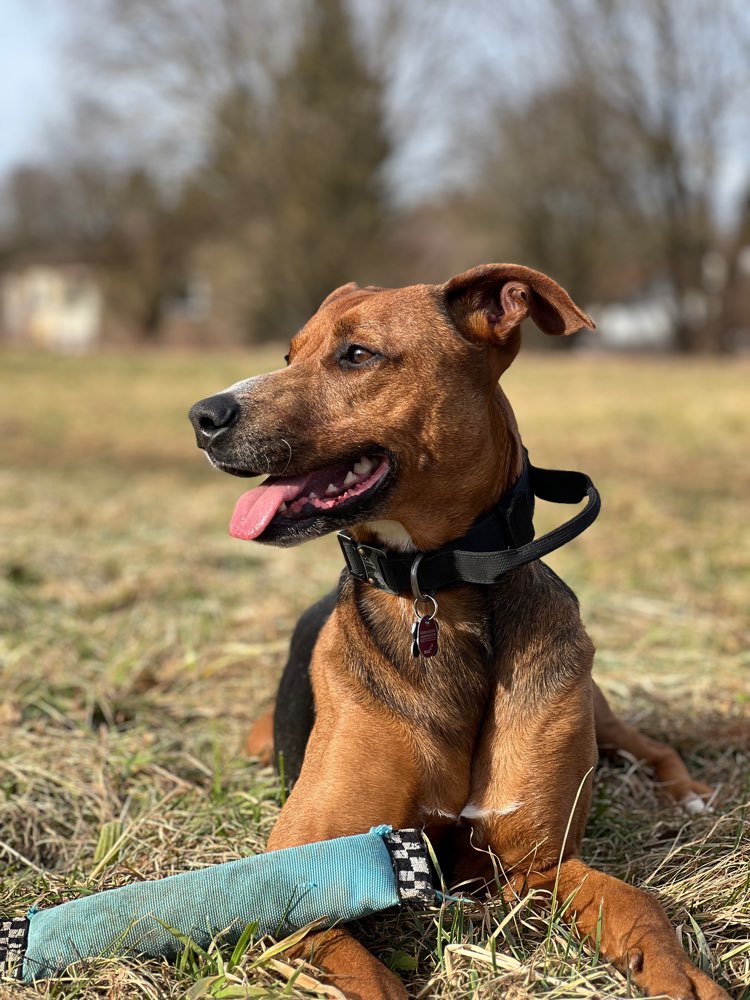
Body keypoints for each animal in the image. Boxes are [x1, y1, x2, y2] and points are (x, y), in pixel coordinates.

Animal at [189, 266, 728, 1000]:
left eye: (356, 354)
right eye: (289, 355)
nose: (202, 416)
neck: (437, 590)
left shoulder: (539, 865)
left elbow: (637, 902)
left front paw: (682, 972)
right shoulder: (295, 882)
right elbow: (373, 980)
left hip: (592, 701)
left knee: (652, 746)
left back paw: (691, 795)